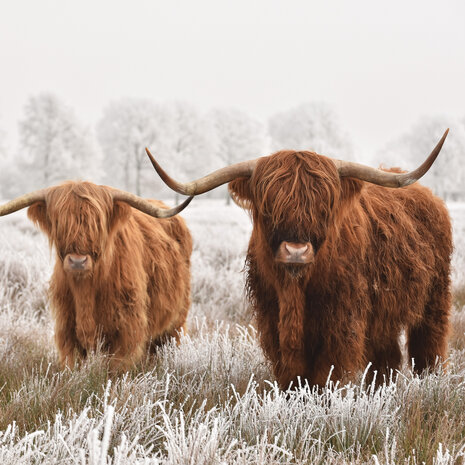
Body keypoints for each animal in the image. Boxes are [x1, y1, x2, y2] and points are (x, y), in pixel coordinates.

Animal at [0, 181, 192, 370]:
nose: (78, 261)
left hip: (176, 321)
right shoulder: (66, 329)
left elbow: (116, 368)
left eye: (97, 223)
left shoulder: (127, 329)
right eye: (59, 222)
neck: (86, 289)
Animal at [147, 130, 452, 388]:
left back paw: (429, 384)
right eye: (269, 205)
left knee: (428, 347)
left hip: (434, 299)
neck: (295, 290)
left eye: (324, 206)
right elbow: (291, 374)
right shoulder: (272, 320)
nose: (295, 251)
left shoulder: (341, 323)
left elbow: (325, 374)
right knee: (387, 357)